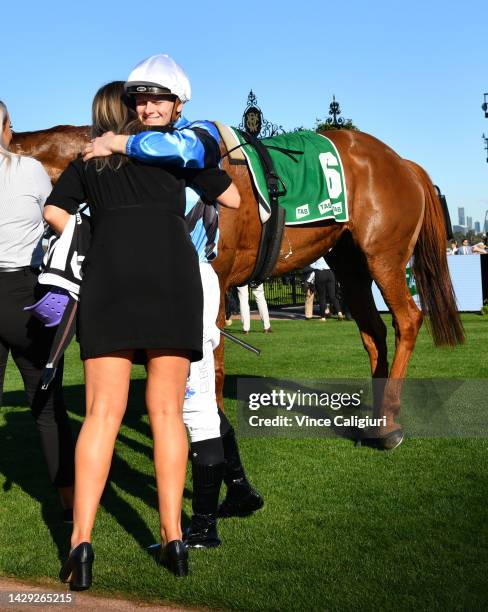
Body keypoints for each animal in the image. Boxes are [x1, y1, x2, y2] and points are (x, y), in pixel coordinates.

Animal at [10, 125, 462, 450]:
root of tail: (402, 162)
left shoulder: (215, 283)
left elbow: (213, 362)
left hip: (383, 257)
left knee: (408, 319)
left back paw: (389, 424)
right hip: (349, 264)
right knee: (373, 331)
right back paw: (375, 417)